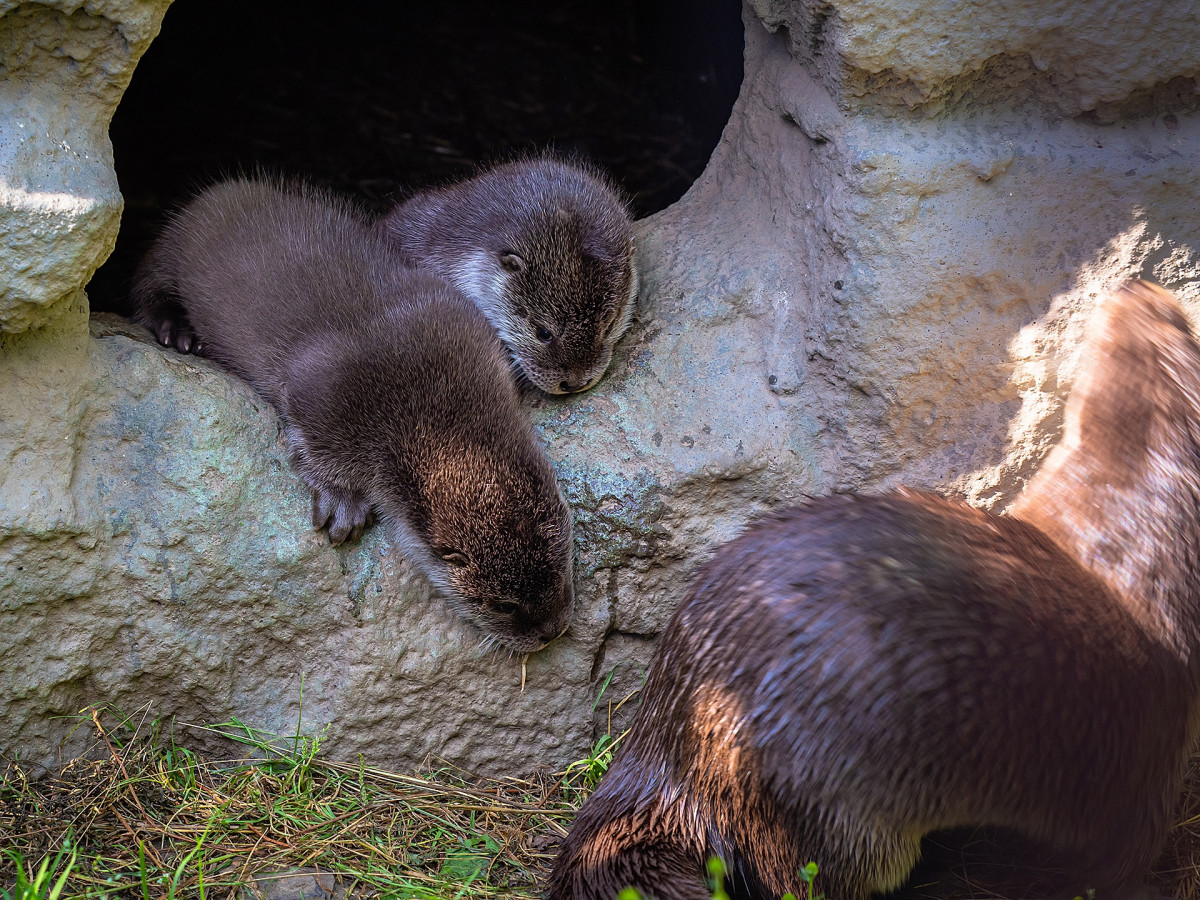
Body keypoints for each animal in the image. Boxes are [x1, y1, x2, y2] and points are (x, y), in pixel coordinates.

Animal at [131, 177, 576, 657]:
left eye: (563, 565)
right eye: (504, 605)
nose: (552, 631)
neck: (425, 393)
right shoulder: (323, 398)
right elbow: (314, 446)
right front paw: (343, 504)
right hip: (175, 246)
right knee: (146, 282)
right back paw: (175, 330)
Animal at [549, 278, 1200, 897]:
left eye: (1149, 319)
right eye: (1180, 323)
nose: (1138, 287)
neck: (1124, 512)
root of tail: (672, 733)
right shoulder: (1147, 751)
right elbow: (1116, 861)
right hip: (820, 805)